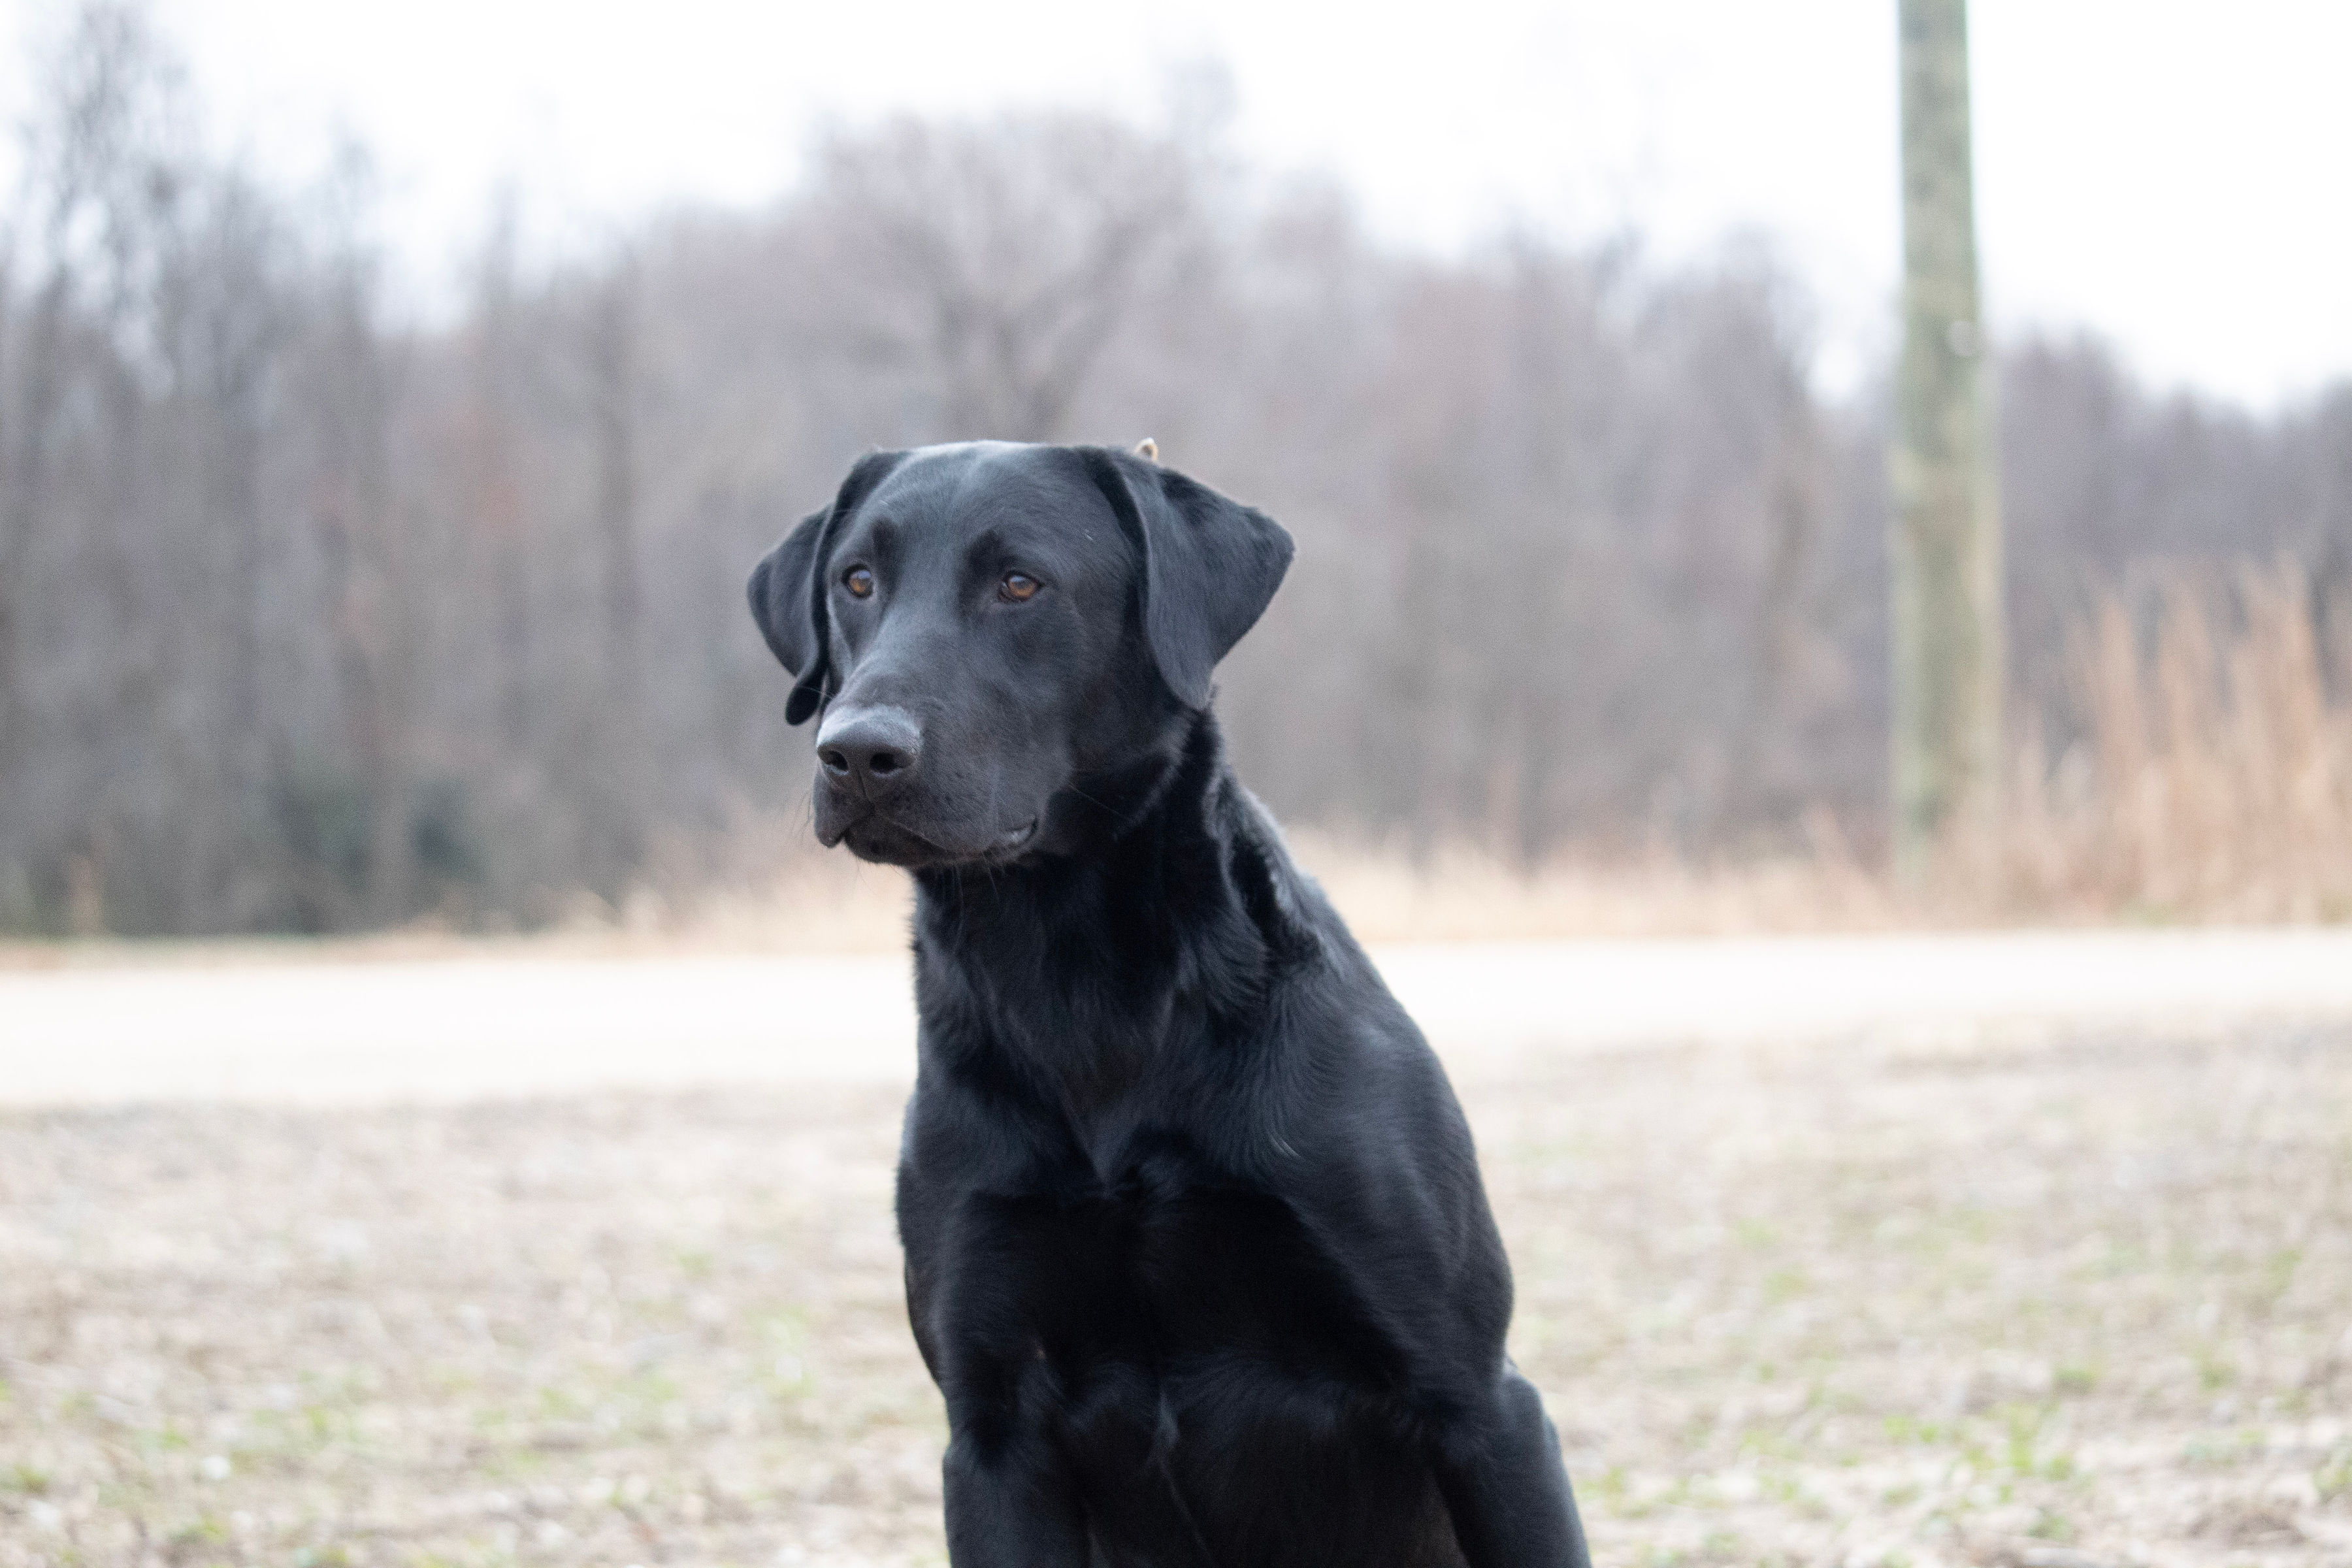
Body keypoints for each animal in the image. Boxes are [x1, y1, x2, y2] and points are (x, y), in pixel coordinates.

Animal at [747, 442, 1599, 1568]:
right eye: (856, 582)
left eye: (1020, 583)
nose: (855, 754)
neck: (1081, 991)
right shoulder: (993, 1436)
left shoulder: (1481, 1403)